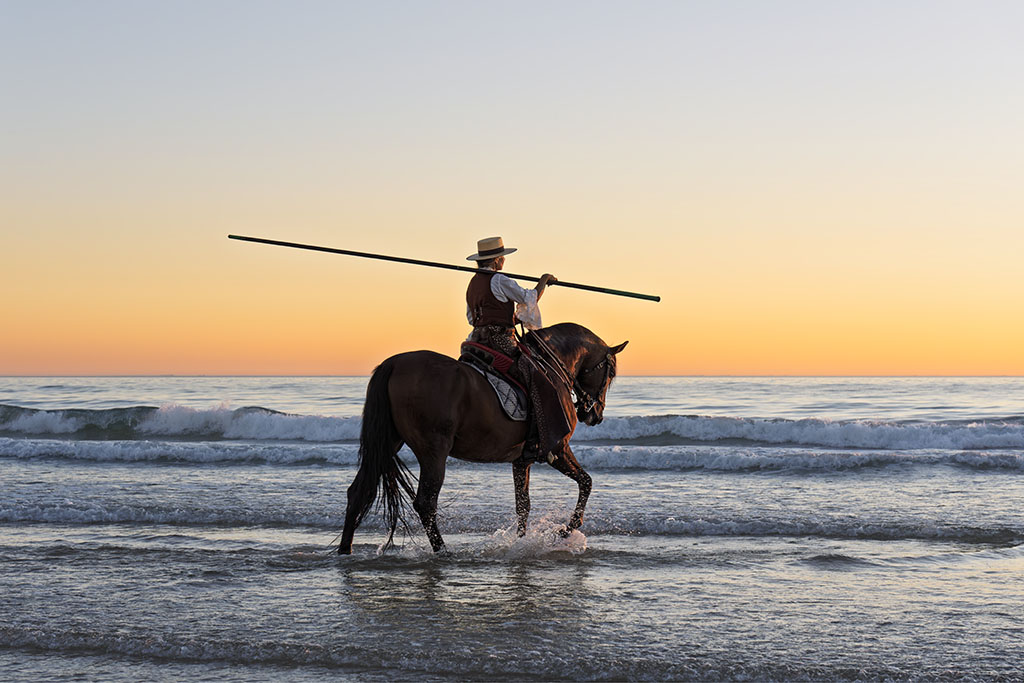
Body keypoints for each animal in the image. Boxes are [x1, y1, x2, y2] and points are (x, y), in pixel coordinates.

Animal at [338, 322, 627, 554]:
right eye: (610, 374)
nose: (595, 414)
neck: (551, 368)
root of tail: (395, 363)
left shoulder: (522, 460)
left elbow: (523, 505)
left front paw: (521, 542)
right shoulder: (558, 449)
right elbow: (586, 482)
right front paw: (566, 530)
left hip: (388, 443)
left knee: (358, 491)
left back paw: (345, 549)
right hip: (434, 452)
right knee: (425, 503)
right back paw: (442, 551)